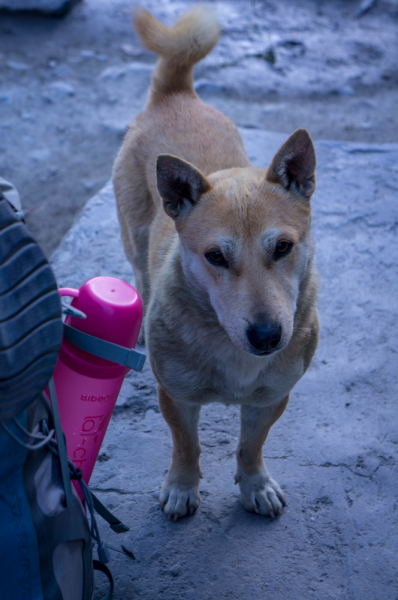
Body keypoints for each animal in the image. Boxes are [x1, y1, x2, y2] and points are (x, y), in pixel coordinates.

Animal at [113, 5, 318, 520]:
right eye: (215, 257)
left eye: (283, 247)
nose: (266, 336)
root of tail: (176, 93)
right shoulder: (176, 396)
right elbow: (186, 445)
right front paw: (182, 486)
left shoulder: (271, 399)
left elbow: (250, 447)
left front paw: (254, 485)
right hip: (133, 236)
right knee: (140, 271)